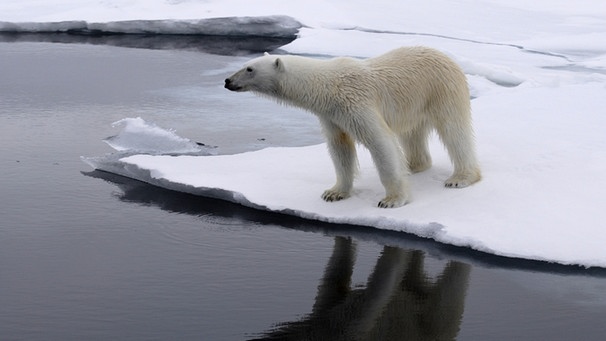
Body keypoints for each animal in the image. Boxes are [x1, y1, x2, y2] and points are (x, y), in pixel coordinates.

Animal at [226, 46, 482, 206]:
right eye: (246, 64)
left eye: (250, 69)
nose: (228, 81)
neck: (327, 88)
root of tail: (447, 56)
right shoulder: (331, 115)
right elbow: (339, 147)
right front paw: (334, 193)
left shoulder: (356, 103)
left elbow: (380, 143)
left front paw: (391, 200)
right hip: (415, 102)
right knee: (412, 133)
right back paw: (414, 165)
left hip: (442, 89)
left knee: (454, 130)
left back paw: (460, 177)